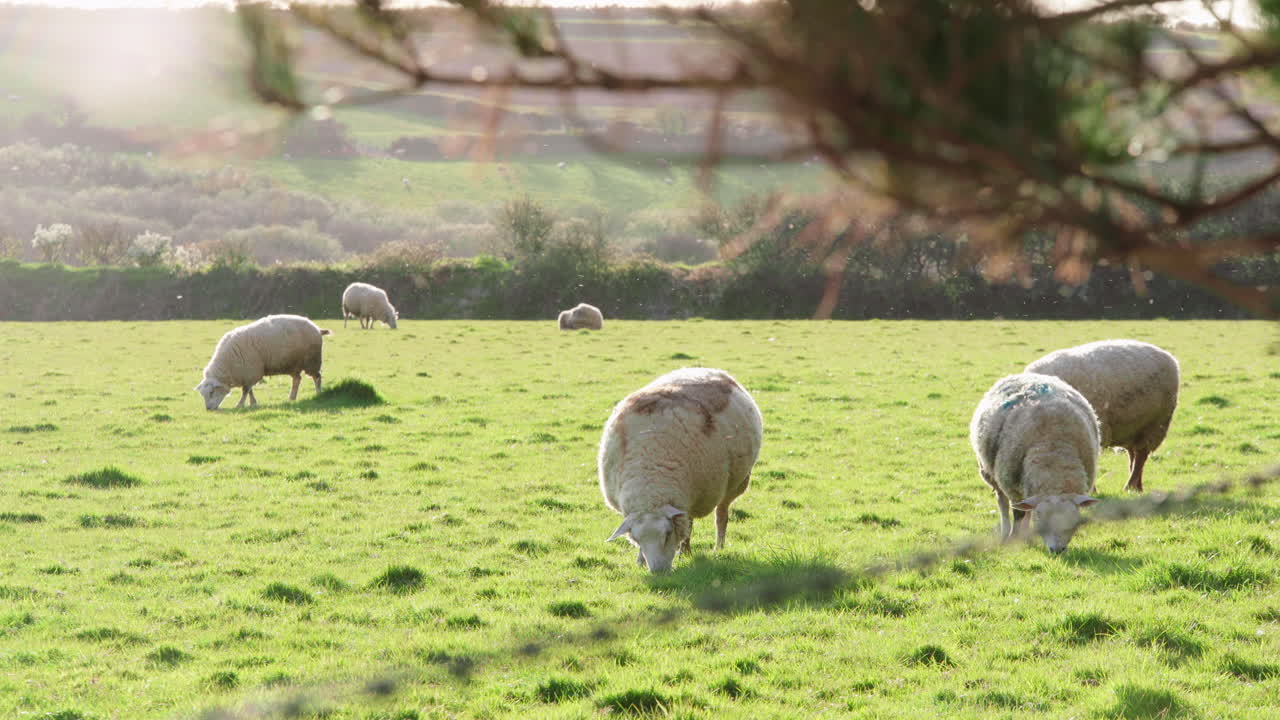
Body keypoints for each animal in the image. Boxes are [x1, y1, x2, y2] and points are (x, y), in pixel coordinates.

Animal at [194, 314, 331, 410]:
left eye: (211, 392)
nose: (208, 409)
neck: (227, 366)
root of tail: (317, 328)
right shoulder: (247, 374)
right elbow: (249, 390)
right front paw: (252, 403)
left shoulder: (251, 371)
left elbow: (245, 391)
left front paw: (240, 405)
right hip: (293, 364)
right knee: (297, 380)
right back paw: (291, 398)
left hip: (311, 361)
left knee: (317, 377)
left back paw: (318, 394)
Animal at [599, 367, 764, 572]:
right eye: (636, 539)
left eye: (668, 533)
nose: (658, 572)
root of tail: (707, 369)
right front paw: (640, 560)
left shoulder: (692, 497)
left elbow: (689, 527)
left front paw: (685, 553)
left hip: (735, 482)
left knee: (721, 515)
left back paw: (718, 547)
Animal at [970, 373, 1101, 553]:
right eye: (1040, 515)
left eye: (1074, 516)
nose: (1057, 550)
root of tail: (1023, 374)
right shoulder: (1012, 487)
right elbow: (1018, 514)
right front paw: (1013, 539)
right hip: (992, 474)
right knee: (1003, 503)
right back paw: (1005, 533)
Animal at [1025, 340, 1179, 492]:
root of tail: (1169, 356)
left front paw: (1092, 491)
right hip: (1131, 428)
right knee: (1133, 454)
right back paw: (1136, 487)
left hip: (1155, 424)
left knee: (1141, 456)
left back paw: (1130, 485)